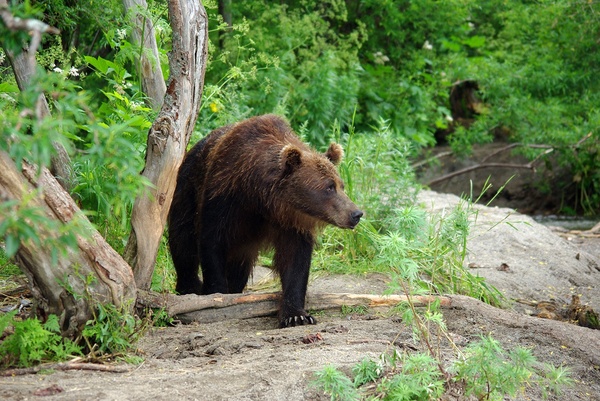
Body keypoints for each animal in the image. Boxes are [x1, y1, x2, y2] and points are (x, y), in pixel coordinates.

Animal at [170, 114, 366, 326]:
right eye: (329, 187)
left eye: (341, 185)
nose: (356, 213)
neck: (259, 198)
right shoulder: (223, 199)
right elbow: (211, 243)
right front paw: (217, 297)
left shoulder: (291, 222)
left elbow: (295, 262)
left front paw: (296, 315)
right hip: (186, 191)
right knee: (183, 241)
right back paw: (190, 287)